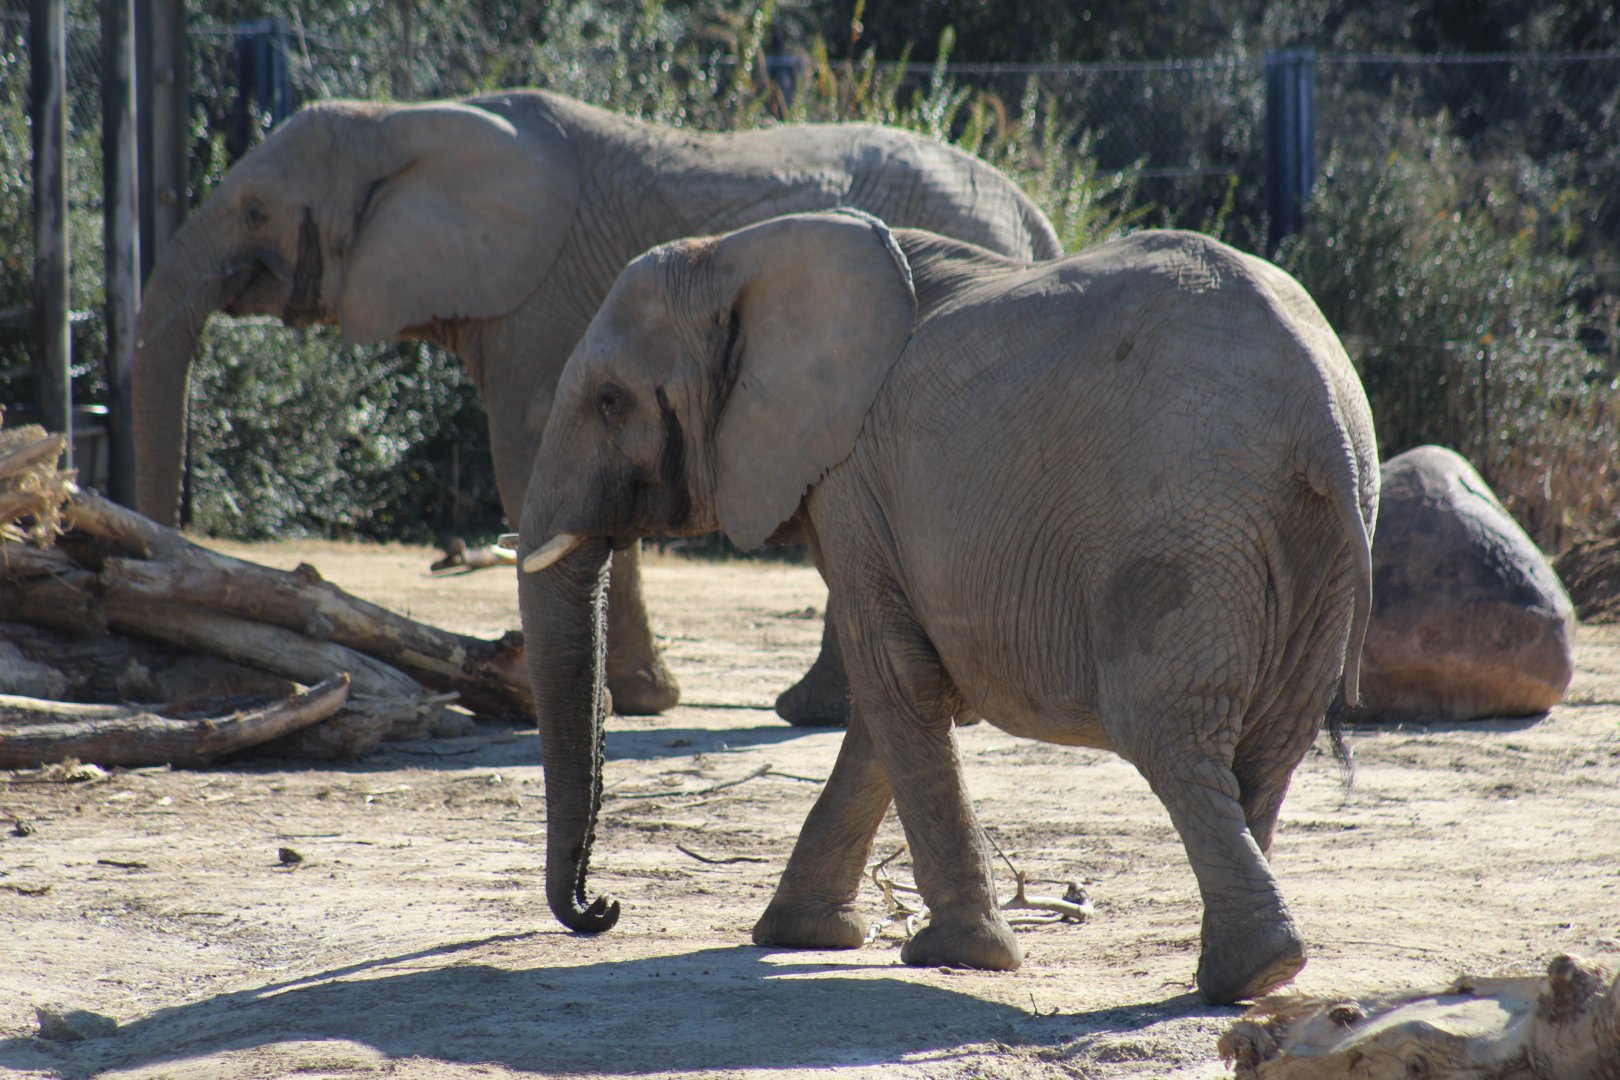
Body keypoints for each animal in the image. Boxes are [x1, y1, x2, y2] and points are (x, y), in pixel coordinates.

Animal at [132, 89, 1061, 723]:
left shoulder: (539, 303)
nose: (159, 662)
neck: (403, 119)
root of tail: (1030, 212)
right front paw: (643, 698)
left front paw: (632, 702)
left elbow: (526, 452)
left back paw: (816, 711)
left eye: (256, 209)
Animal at [515, 212, 1379, 1005]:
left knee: (1169, 732)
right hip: (1319, 540)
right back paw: (1240, 976)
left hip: (1186, 515)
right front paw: (799, 936)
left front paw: (957, 956)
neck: (739, 251)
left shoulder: (850, 476)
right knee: (1272, 744)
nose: (603, 907)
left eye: (610, 400)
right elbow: (890, 700)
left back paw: (1250, 972)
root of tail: (1321, 408)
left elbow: (895, 679)